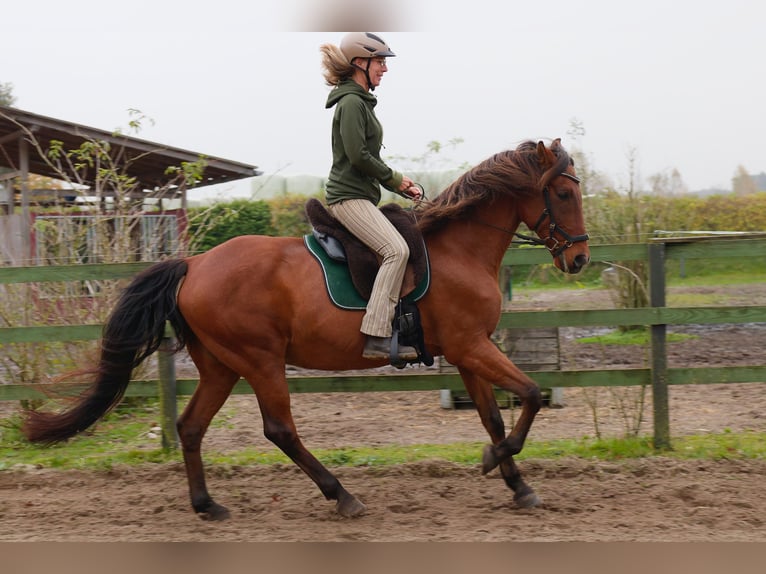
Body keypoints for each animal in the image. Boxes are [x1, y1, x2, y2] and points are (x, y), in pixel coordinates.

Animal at [21, 138, 592, 520]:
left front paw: (514, 481)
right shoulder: (471, 346)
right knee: (279, 430)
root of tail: (193, 263)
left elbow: (494, 417)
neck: (460, 249)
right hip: (260, 360)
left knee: (191, 427)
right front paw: (496, 461)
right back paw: (343, 496)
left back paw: (207, 505)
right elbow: (531, 395)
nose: (581, 259)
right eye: (564, 194)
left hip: (221, 366)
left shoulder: (467, 351)